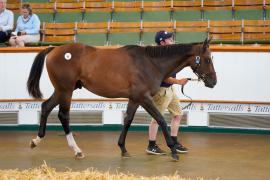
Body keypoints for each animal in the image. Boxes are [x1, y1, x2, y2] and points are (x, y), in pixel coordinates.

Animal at [27, 37, 217, 160]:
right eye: (208, 59)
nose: (213, 82)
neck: (150, 63)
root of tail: (54, 49)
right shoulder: (144, 98)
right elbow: (161, 120)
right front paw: (173, 150)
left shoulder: (134, 99)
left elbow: (128, 120)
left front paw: (123, 148)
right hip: (66, 90)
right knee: (63, 115)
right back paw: (76, 150)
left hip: (62, 90)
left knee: (46, 107)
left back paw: (36, 140)